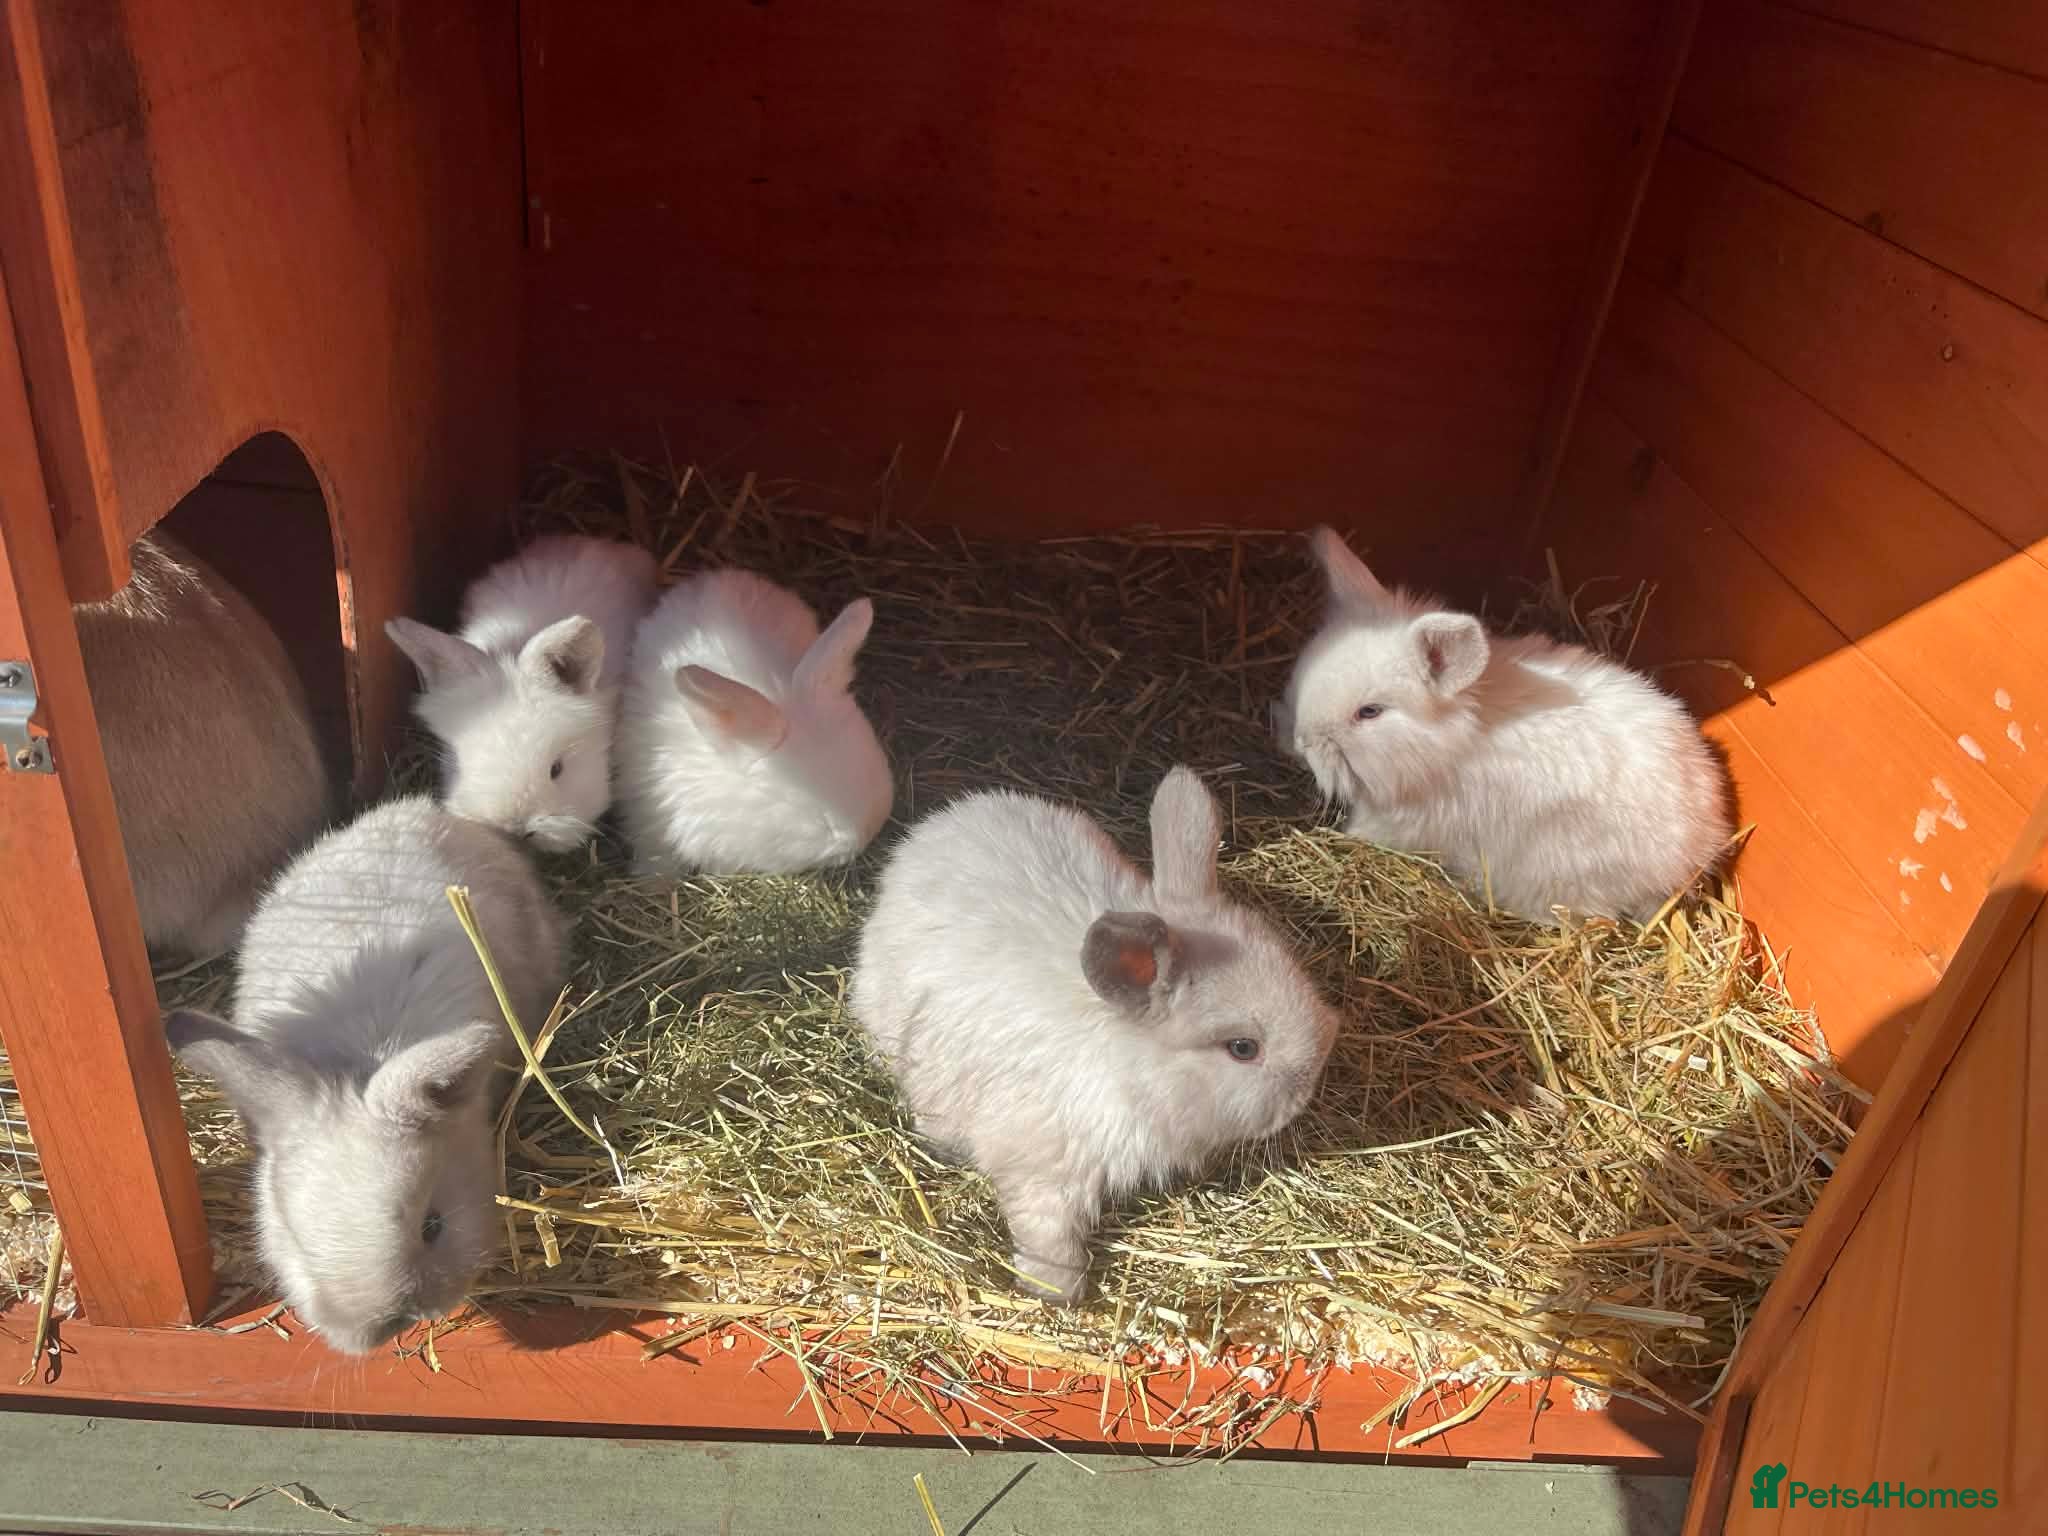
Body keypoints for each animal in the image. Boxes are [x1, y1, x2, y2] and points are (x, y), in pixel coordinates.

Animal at [850, 765, 1339, 1303]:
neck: (1127, 1065)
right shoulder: (1044, 1169)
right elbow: (1049, 1236)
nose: (1307, 1089)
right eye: (1243, 1048)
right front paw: (1056, 1294)